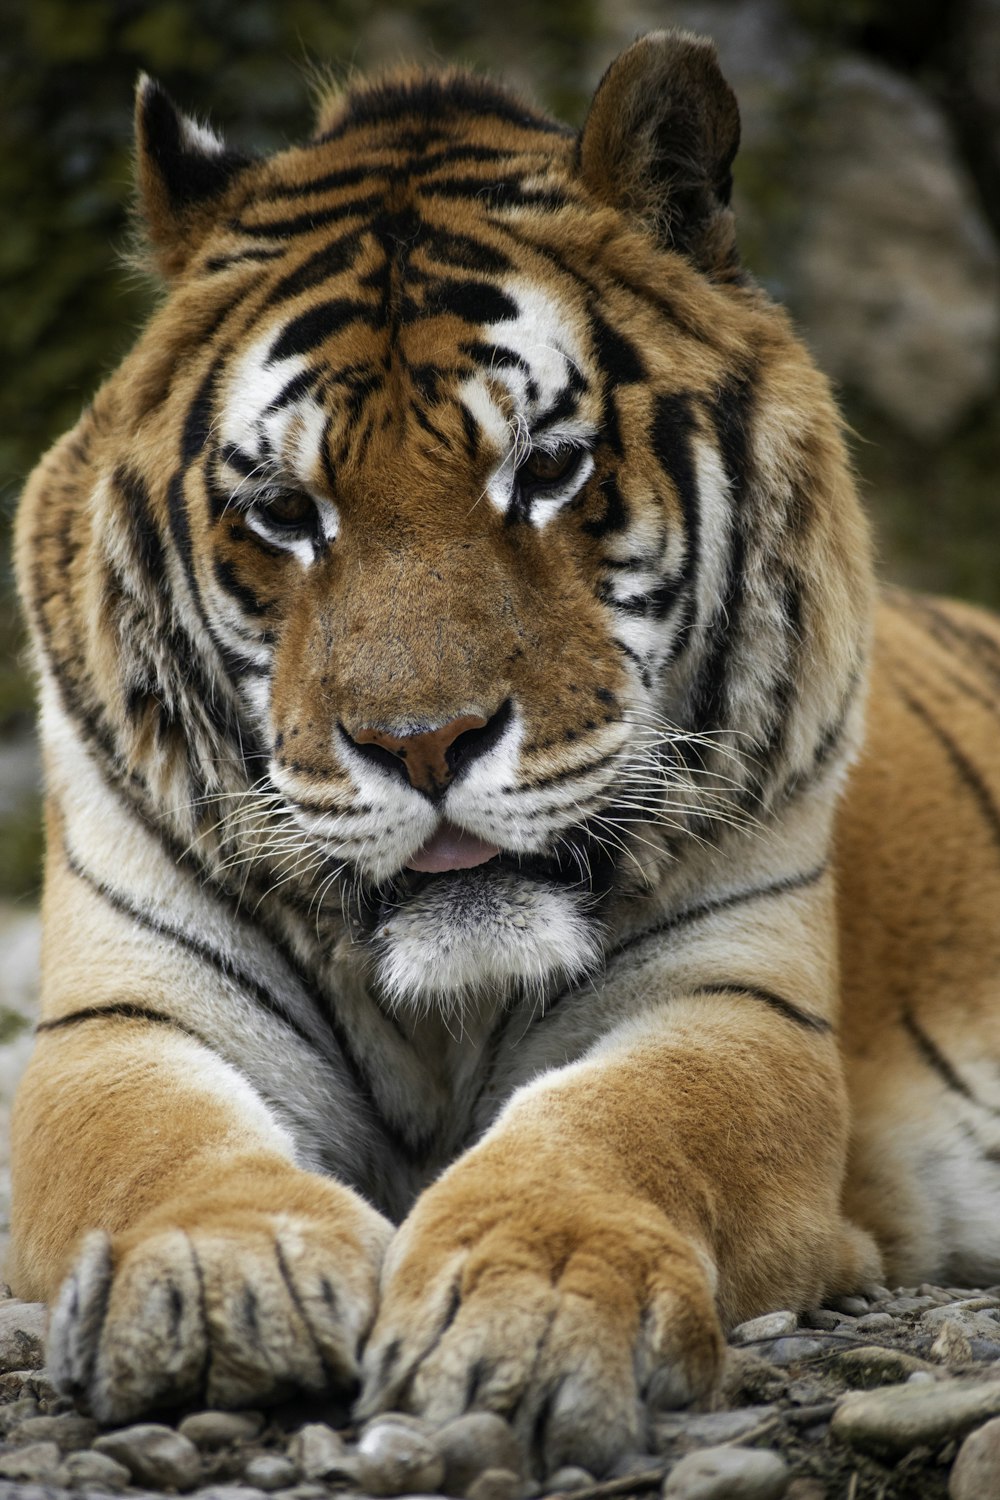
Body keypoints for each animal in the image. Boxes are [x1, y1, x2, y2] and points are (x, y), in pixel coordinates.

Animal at [11, 32, 1000, 1476]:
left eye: (544, 472)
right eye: (287, 513)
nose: (424, 746)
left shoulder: (731, 1003)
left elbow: (619, 1125)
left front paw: (529, 1302)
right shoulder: (120, 1017)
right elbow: (146, 1142)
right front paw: (216, 1277)